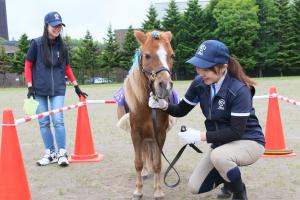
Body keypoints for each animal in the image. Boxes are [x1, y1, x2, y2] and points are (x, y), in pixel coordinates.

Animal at [123, 30, 175, 199]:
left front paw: (158, 190)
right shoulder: (135, 133)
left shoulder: (159, 133)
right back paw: (146, 172)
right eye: (147, 56)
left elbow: (158, 163)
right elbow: (138, 162)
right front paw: (138, 190)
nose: (164, 86)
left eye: (171, 55)